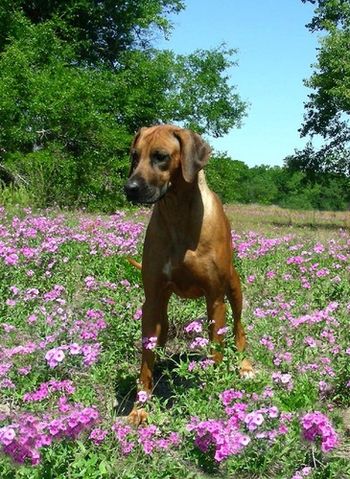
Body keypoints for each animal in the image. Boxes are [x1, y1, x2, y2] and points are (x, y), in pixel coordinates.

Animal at [123, 125, 252, 426]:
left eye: (160, 156)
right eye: (134, 155)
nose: (129, 188)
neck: (177, 213)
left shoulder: (215, 299)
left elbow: (216, 349)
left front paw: (215, 389)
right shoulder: (152, 299)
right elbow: (145, 361)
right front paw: (140, 407)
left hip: (234, 288)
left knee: (239, 328)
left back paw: (245, 365)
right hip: (161, 308)